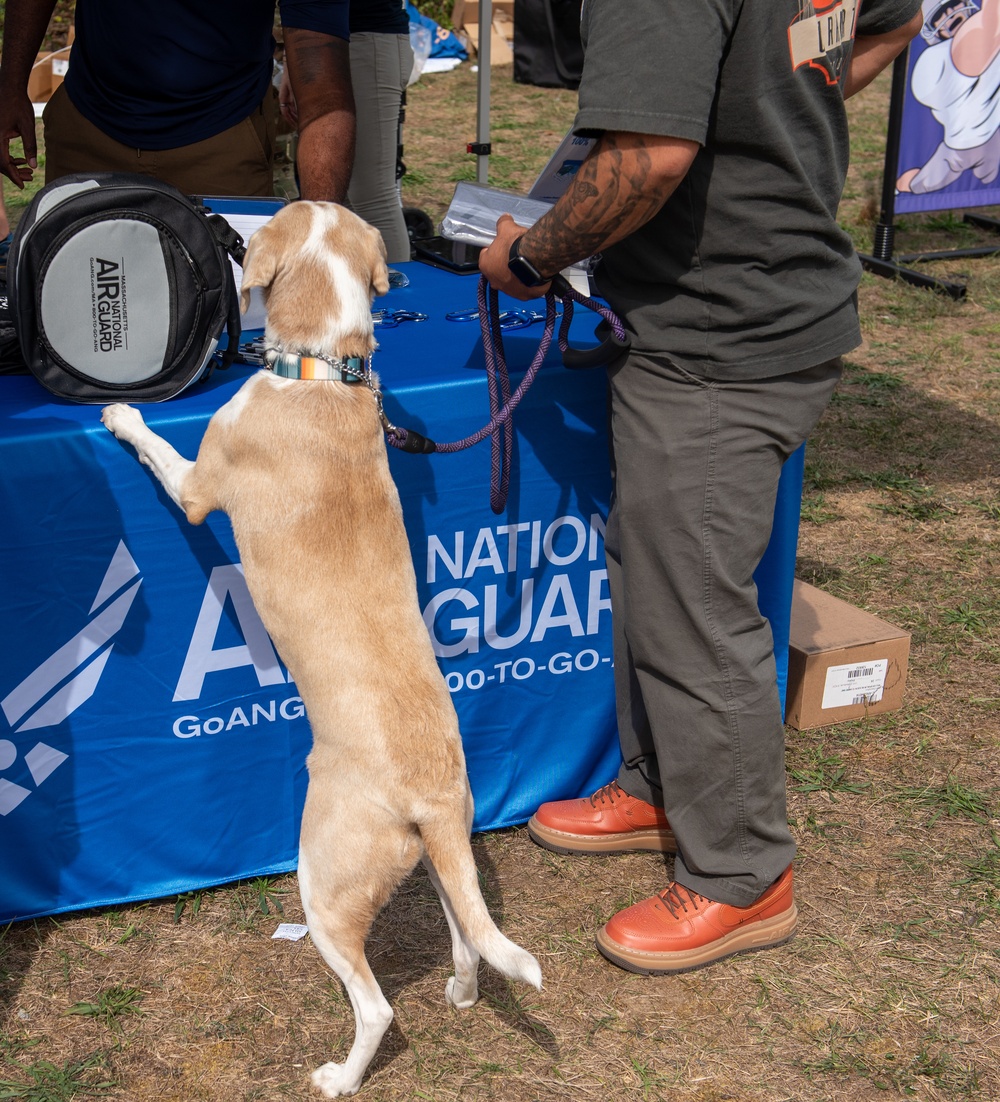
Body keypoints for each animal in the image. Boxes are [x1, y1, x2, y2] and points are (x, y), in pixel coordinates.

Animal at [102, 202, 544, 1097]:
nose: (227, 222)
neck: (322, 373)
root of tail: (429, 794)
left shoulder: (197, 488)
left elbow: (161, 455)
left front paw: (123, 417)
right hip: (443, 859)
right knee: (465, 936)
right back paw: (460, 992)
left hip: (324, 884)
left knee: (375, 1007)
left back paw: (341, 1076)